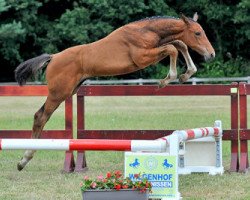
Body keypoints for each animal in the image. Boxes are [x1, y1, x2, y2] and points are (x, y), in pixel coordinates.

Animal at [15, 12, 215, 170]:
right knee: (40, 117)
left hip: (68, 92)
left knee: (41, 116)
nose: (211, 54)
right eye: (197, 33)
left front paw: (186, 74)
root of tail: (54, 57)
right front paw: (167, 79)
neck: (146, 31)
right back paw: (24, 159)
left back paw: (25, 158)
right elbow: (173, 48)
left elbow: (180, 44)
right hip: (58, 94)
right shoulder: (143, 57)